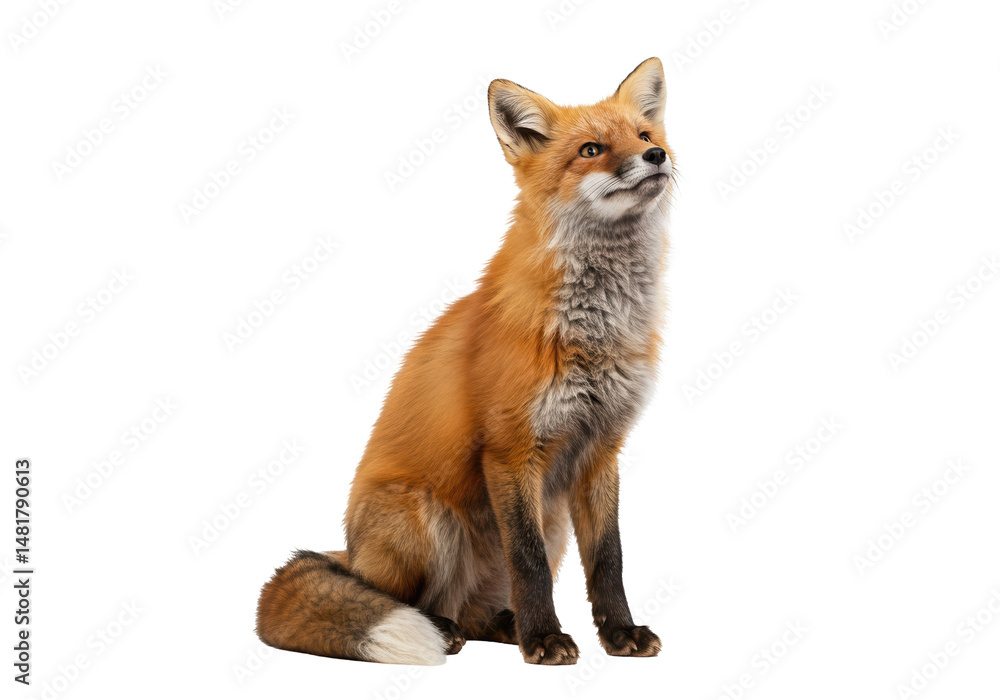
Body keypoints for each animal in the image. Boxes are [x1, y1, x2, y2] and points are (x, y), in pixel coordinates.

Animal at [256, 57, 675, 666]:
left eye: (644, 136)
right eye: (592, 150)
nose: (657, 156)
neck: (597, 331)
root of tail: (349, 553)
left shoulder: (602, 450)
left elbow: (609, 559)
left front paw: (620, 633)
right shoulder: (510, 449)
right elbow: (528, 562)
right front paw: (544, 640)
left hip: (551, 521)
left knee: (478, 612)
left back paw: (500, 624)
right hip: (429, 520)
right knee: (398, 598)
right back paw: (447, 628)